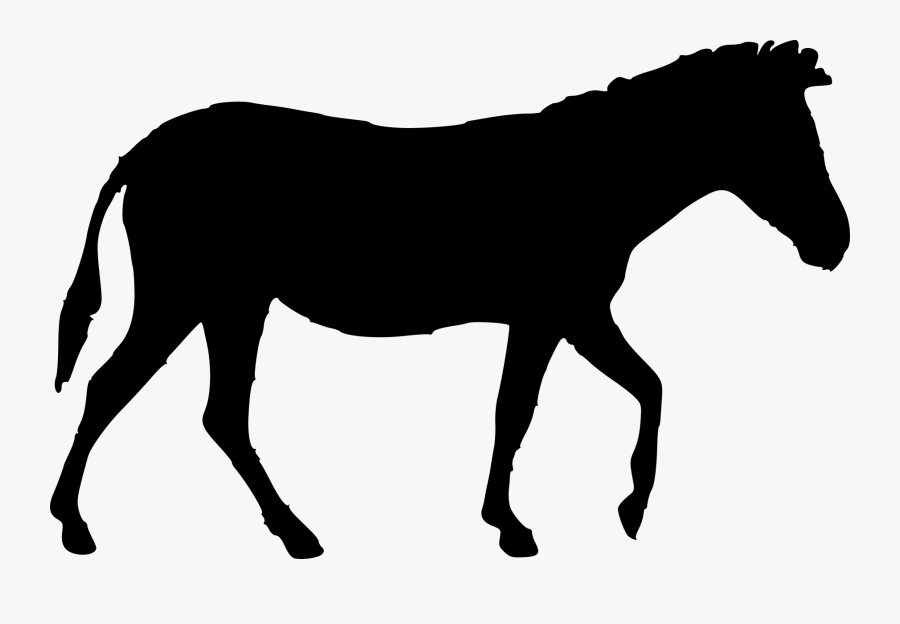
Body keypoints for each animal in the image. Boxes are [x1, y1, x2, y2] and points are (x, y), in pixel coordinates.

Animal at [51, 40, 849, 559]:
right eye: (786, 140)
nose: (835, 242)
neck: (592, 178)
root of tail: (150, 147)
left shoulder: (570, 317)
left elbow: (634, 388)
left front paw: (608, 510)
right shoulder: (556, 314)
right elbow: (527, 409)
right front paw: (532, 524)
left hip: (234, 302)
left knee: (220, 414)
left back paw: (294, 532)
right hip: (183, 297)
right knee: (112, 388)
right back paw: (74, 524)